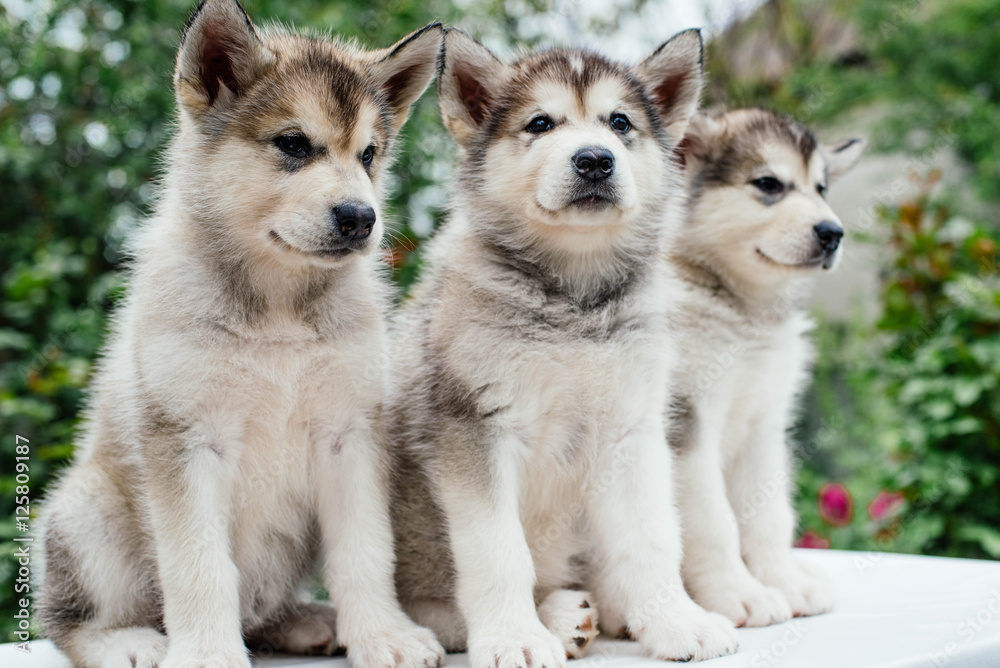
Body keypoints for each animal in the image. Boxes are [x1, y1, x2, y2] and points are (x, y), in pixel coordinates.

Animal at [39, 1, 444, 668]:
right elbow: (200, 566)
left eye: (368, 155)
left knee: (260, 612)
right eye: (293, 144)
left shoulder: (351, 433)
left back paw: (303, 622)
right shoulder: (185, 440)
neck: (278, 308)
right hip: (86, 512)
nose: (361, 218)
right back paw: (128, 641)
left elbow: (364, 552)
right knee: (69, 622)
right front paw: (205, 652)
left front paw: (384, 635)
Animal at [390, 28, 744, 664]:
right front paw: (514, 637)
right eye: (540, 124)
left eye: (620, 123)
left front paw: (675, 620)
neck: (574, 303)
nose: (594, 159)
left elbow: (652, 539)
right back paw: (551, 620)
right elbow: (497, 552)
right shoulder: (474, 430)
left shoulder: (631, 430)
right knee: (437, 605)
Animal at [668, 108, 864, 628]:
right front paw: (738, 593)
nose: (833, 233)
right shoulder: (688, 424)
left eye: (821, 188)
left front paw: (784, 581)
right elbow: (715, 522)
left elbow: (768, 516)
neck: (744, 315)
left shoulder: (765, 425)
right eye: (769, 184)